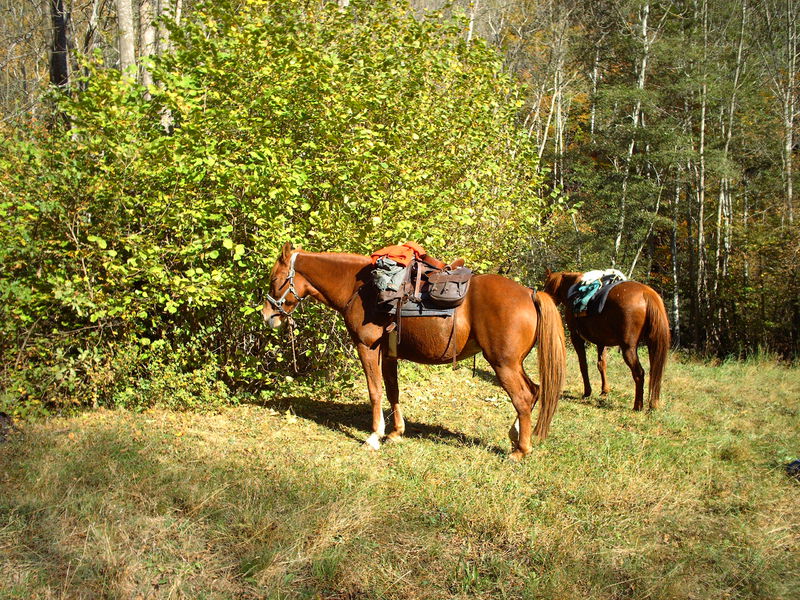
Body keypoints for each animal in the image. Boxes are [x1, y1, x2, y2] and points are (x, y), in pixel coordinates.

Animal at [264, 243, 566, 460]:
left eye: (275, 280)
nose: (267, 316)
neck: (361, 289)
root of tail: (530, 293)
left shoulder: (367, 347)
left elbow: (375, 391)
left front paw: (374, 437)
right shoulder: (389, 353)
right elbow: (392, 391)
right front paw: (396, 433)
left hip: (503, 363)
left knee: (523, 397)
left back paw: (520, 450)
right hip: (514, 363)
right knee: (534, 390)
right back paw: (516, 437)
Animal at [543, 271, 670, 411]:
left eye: (547, 284)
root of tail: (647, 294)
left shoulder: (576, 337)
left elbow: (583, 365)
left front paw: (587, 392)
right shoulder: (601, 341)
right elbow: (601, 365)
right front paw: (604, 391)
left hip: (628, 348)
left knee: (639, 373)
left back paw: (637, 405)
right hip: (653, 345)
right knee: (655, 373)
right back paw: (653, 404)